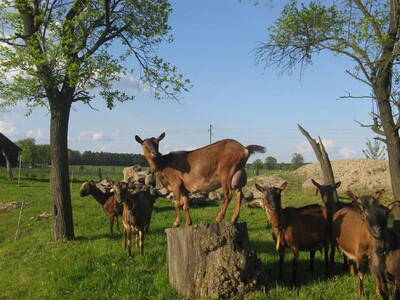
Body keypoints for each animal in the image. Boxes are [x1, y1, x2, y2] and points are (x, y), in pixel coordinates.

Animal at [135, 132, 266, 227]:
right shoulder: (184, 187)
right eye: (144, 144)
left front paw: (176, 223)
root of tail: (244, 148)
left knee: (228, 195)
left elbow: (176, 203)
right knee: (239, 194)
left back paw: (219, 217)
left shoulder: (176, 183)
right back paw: (234, 218)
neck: (164, 164)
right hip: (237, 174)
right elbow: (185, 205)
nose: (154, 153)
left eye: (157, 143)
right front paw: (188, 223)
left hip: (226, 173)